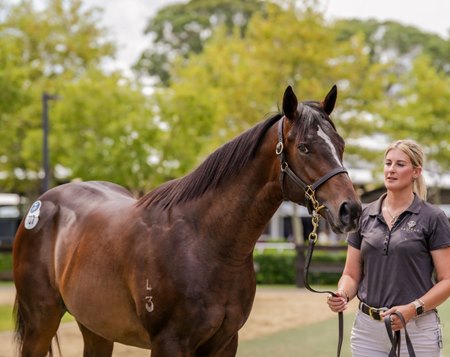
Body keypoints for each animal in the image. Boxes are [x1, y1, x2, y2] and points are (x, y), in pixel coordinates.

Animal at [12, 85, 362, 354]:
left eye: (341, 145)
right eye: (303, 147)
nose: (351, 210)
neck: (202, 241)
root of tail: (42, 204)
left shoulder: (225, 342)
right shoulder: (169, 343)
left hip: (95, 326)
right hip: (41, 322)